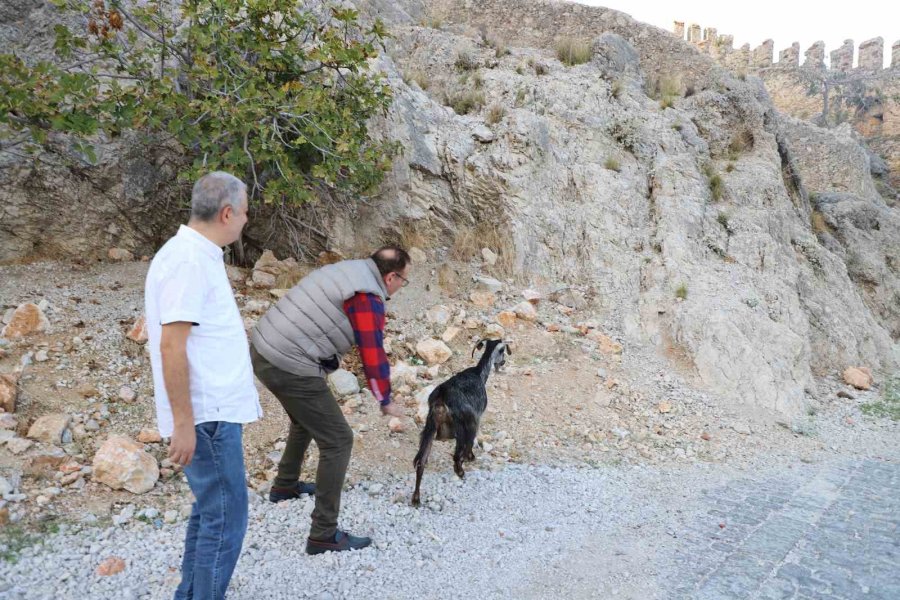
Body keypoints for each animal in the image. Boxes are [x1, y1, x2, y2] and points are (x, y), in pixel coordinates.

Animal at [412, 338, 510, 506]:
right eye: (502, 351)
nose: (503, 362)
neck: (479, 373)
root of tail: (441, 397)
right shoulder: (476, 416)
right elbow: (471, 442)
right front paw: (471, 458)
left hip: (430, 426)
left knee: (421, 461)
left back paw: (416, 498)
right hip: (462, 423)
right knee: (458, 453)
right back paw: (460, 471)